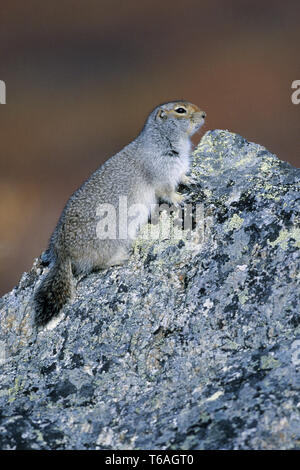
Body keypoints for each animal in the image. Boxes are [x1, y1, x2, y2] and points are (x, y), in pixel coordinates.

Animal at [34, 101, 205, 324]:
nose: (204, 115)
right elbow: (167, 191)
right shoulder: (161, 173)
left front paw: (191, 179)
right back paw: (121, 257)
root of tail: (61, 253)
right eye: (180, 110)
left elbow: (182, 176)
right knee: (97, 264)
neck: (162, 139)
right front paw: (181, 198)